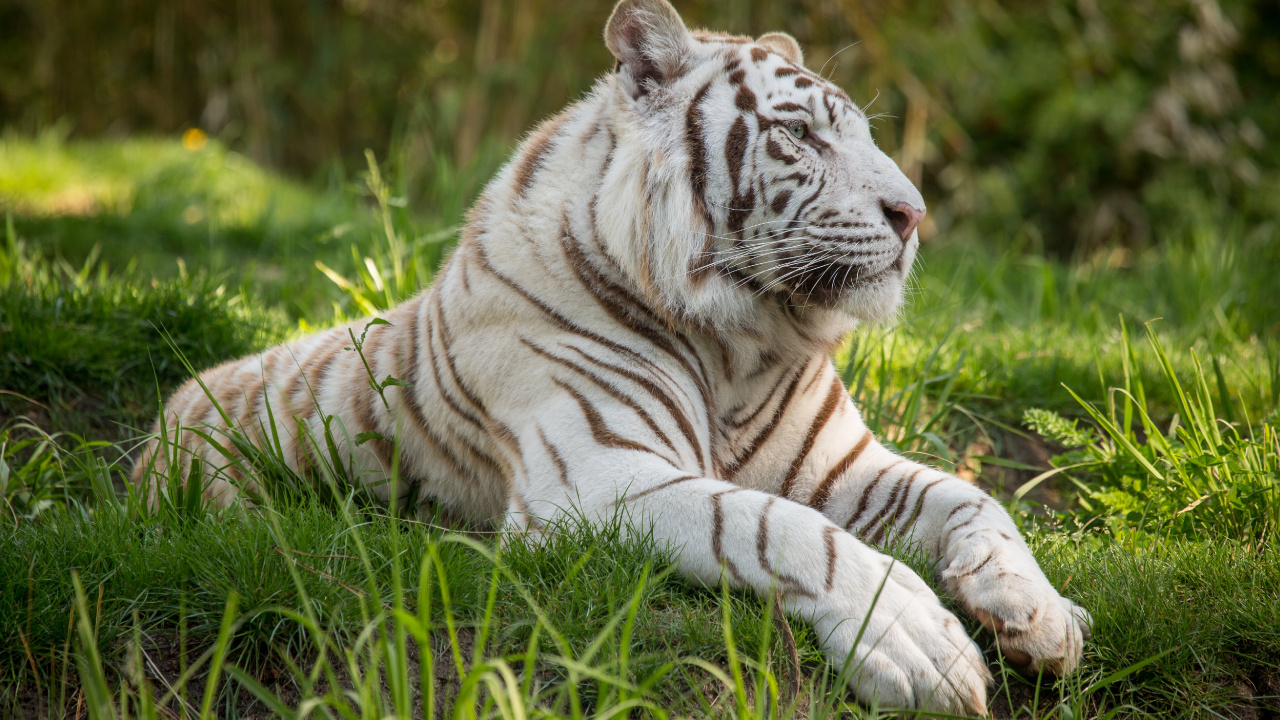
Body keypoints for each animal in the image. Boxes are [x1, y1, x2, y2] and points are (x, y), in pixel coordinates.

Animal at [133, 0, 1091, 712]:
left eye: (863, 135)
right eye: (801, 137)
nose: (915, 213)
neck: (743, 340)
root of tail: (159, 416)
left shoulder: (839, 465)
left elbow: (972, 499)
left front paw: (1040, 614)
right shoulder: (595, 476)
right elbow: (773, 525)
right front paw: (919, 644)